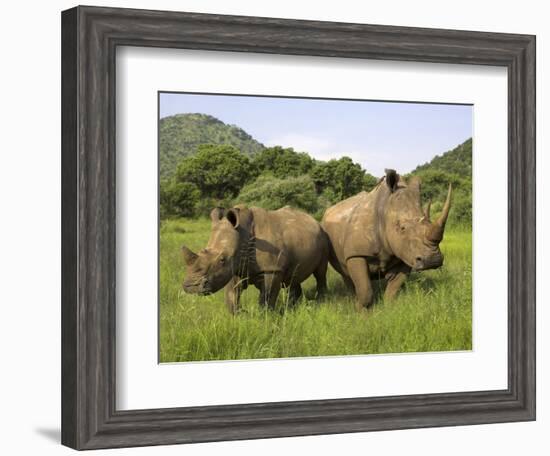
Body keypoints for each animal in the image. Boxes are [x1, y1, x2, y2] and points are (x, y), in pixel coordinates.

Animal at [181, 206, 330, 314]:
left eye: (222, 260)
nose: (191, 287)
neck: (242, 234)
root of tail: (314, 220)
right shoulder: (235, 267)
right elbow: (232, 295)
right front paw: (239, 315)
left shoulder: (271, 269)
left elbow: (267, 296)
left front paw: (265, 317)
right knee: (293, 276)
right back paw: (293, 306)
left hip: (323, 236)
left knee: (320, 272)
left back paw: (321, 301)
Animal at [324, 169, 452, 312]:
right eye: (402, 228)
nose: (432, 260)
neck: (385, 211)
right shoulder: (356, 254)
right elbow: (365, 290)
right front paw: (360, 312)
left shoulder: (406, 253)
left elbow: (393, 290)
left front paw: (388, 310)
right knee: (345, 274)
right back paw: (352, 299)